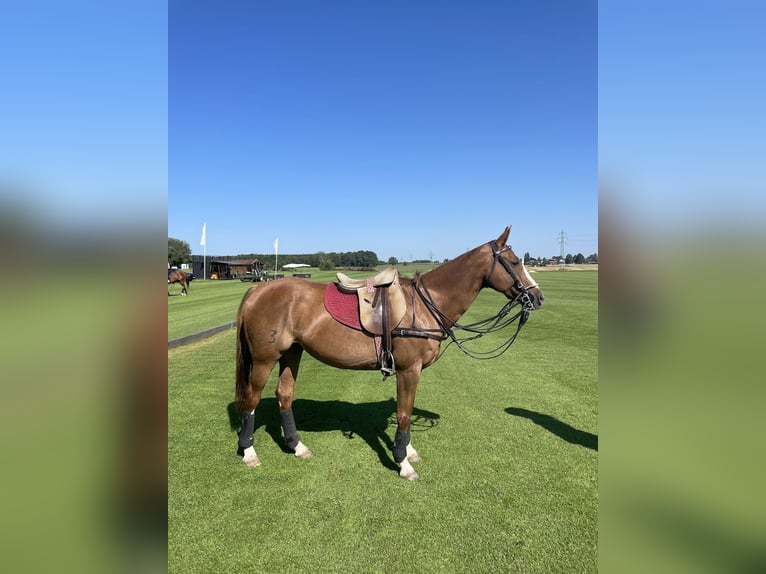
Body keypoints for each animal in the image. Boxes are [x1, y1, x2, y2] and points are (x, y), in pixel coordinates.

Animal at [234, 226, 544, 480]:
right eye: (514, 262)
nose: (538, 297)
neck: (426, 304)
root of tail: (255, 291)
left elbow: (406, 410)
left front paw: (407, 450)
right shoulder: (409, 369)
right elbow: (404, 413)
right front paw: (403, 462)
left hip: (292, 352)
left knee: (284, 394)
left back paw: (297, 446)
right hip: (264, 358)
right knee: (252, 397)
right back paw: (249, 452)